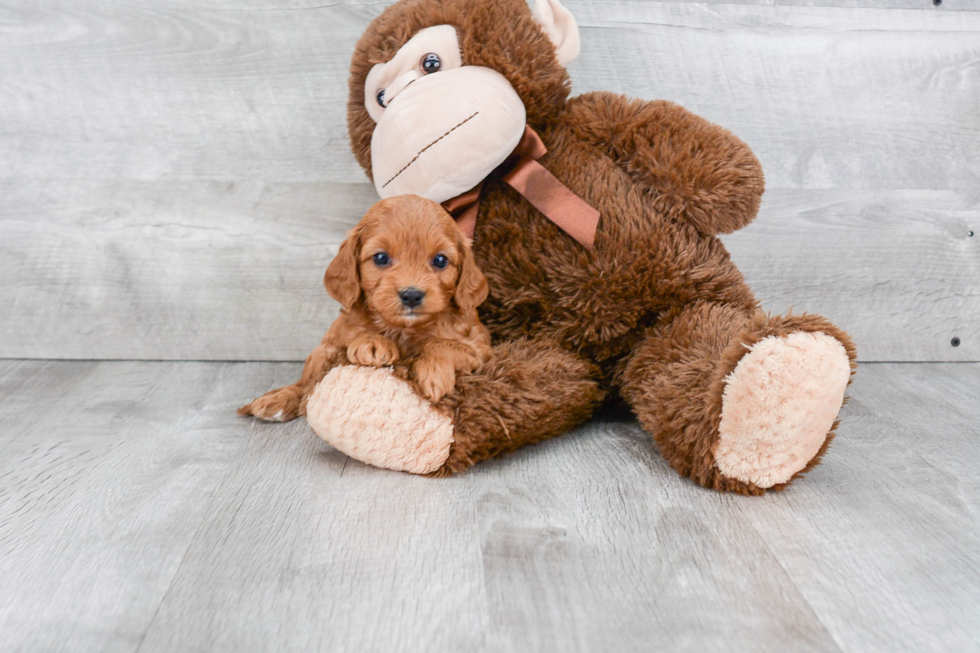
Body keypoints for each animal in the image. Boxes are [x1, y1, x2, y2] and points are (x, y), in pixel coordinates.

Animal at [242, 192, 494, 422]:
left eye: (440, 260)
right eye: (381, 258)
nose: (412, 295)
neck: (404, 329)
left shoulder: (481, 348)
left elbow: (443, 343)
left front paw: (434, 373)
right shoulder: (333, 340)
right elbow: (347, 341)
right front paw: (372, 343)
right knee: (306, 379)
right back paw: (278, 399)